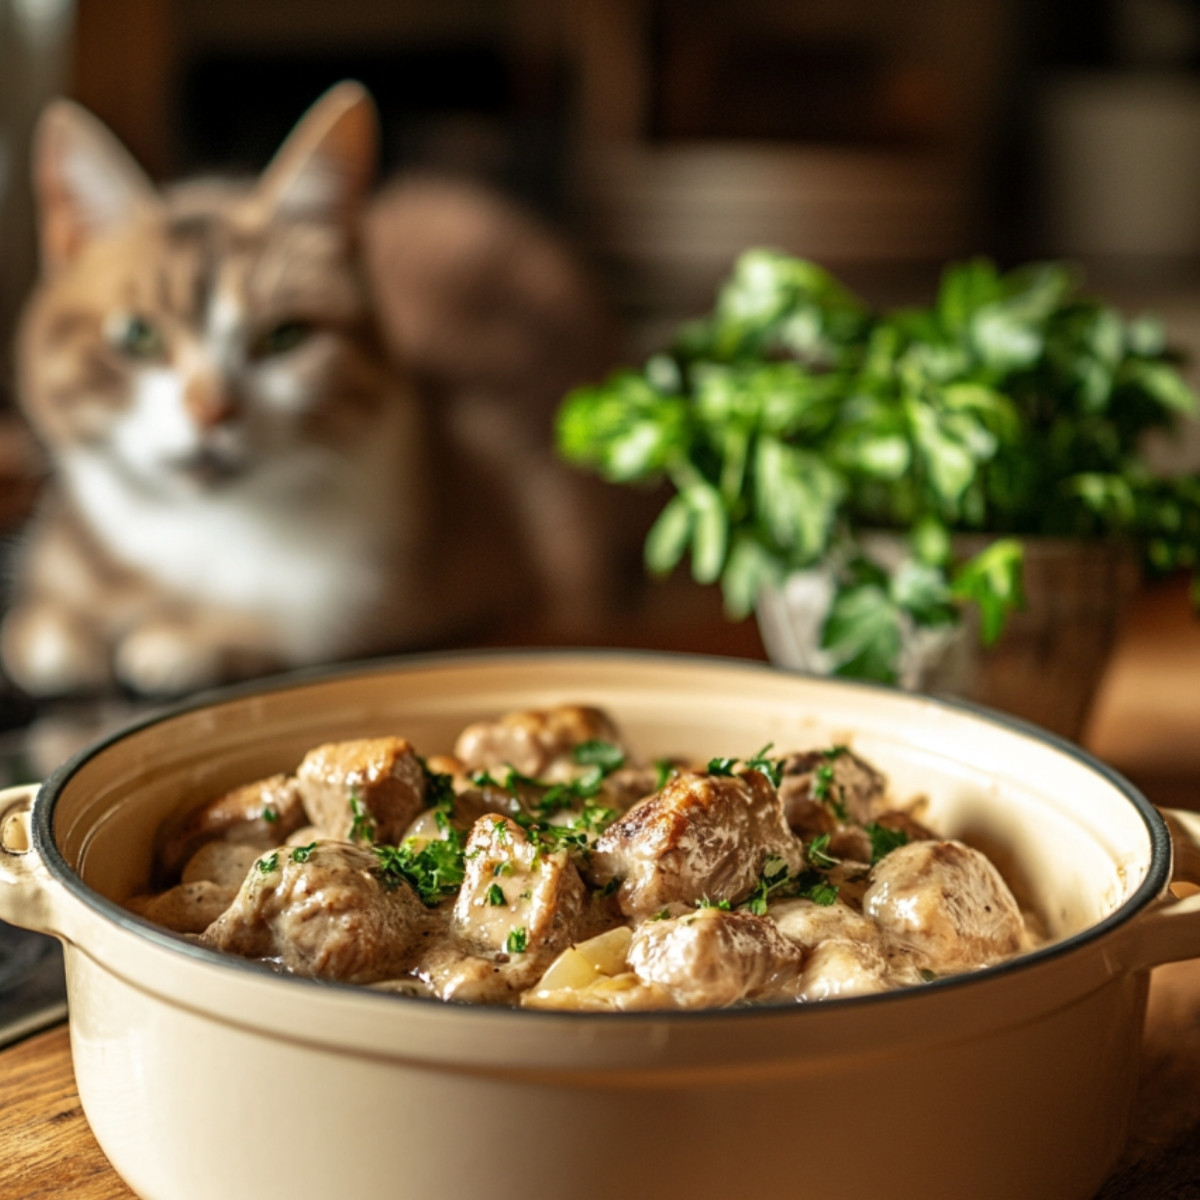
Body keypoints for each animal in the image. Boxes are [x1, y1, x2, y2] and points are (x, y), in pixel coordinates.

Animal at [4, 82, 628, 696]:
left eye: (284, 337)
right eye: (138, 336)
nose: (212, 410)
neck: (206, 536)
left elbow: (289, 630)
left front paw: (191, 638)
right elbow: (42, 634)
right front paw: (70, 627)